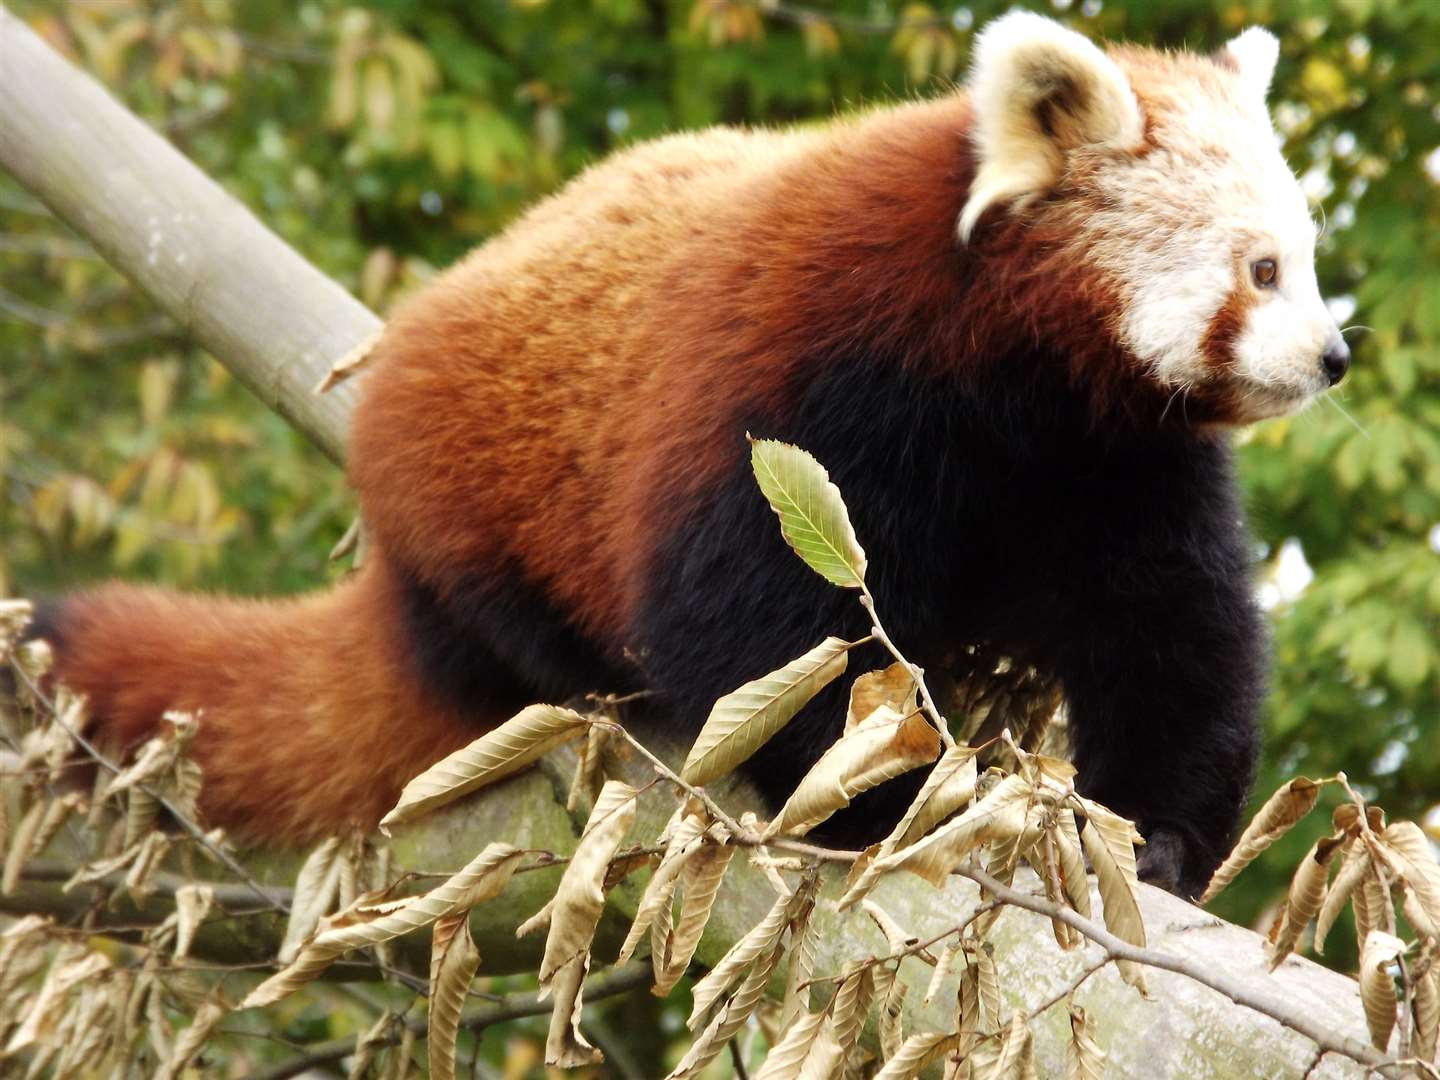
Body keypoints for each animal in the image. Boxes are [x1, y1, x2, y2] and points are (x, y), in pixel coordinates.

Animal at [28, 14, 1342, 898]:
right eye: (1263, 269)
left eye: (1309, 260)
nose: (1332, 356)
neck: (1018, 380)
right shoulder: (813, 387)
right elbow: (759, 624)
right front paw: (877, 803)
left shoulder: (1110, 454)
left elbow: (1170, 623)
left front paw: (1158, 833)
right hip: (470, 499)